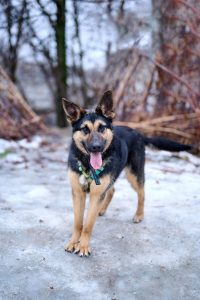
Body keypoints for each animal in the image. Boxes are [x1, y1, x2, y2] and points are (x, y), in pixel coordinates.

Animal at [62, 90, 191, 256]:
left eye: (102, 128)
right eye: (85, 129)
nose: (96, 147)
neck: (87, 165)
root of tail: (138, 133)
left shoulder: (96, 194)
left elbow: (88, 225)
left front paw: (83, 246)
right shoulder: (78, 193)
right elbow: (78, 223)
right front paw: (73, 242)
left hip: (133, 175)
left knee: (142, 193)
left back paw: (139, 215)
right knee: (112, 190)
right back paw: (101, 210)